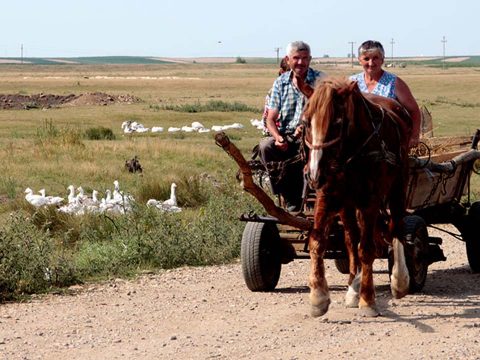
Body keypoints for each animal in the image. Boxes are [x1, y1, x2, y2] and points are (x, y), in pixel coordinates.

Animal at [304, 77, 412, 316]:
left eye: (336, 122)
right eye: (306, 122)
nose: (314, 173)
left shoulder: (370, 201)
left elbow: (368, 249)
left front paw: (368, 300)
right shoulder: (327, 196)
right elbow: (317, 241)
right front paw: (318, 297)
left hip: (397, 187)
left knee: (396, 227)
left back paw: (399, 280)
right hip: (348, 205)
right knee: (352, 239)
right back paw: (353, 286)